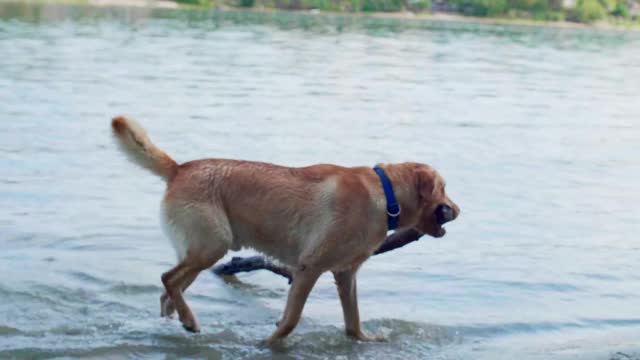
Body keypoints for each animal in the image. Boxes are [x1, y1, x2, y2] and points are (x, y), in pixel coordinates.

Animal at [111, 116, 460, 344]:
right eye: (443, 188)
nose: (457, 211)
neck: (386, 196)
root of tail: (180, 168)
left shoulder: (345, 274)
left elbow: (353, 321)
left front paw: (365, 340)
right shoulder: (309, 268)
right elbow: (292, 319)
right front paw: (269, 343)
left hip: (201, 252)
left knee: (168, 290)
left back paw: (180, 321)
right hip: (212, 246)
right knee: (167, 279)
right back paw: (189, 321)